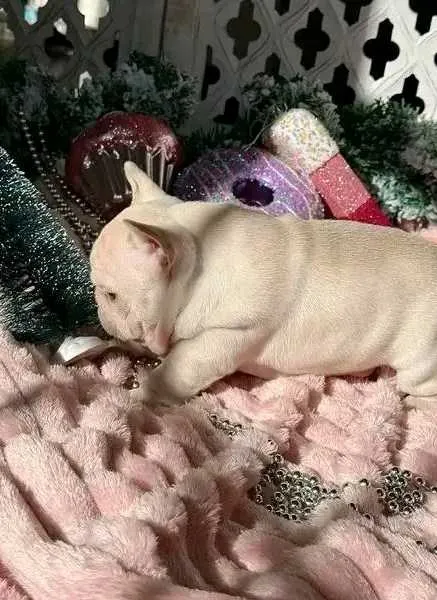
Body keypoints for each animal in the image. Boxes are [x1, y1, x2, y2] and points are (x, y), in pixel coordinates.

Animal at [90, 161, 437, 406]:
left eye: (111, 295)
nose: (97, 310)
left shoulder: (223, 338)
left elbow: (174, 372)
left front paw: (133, 398)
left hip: (420, 365)